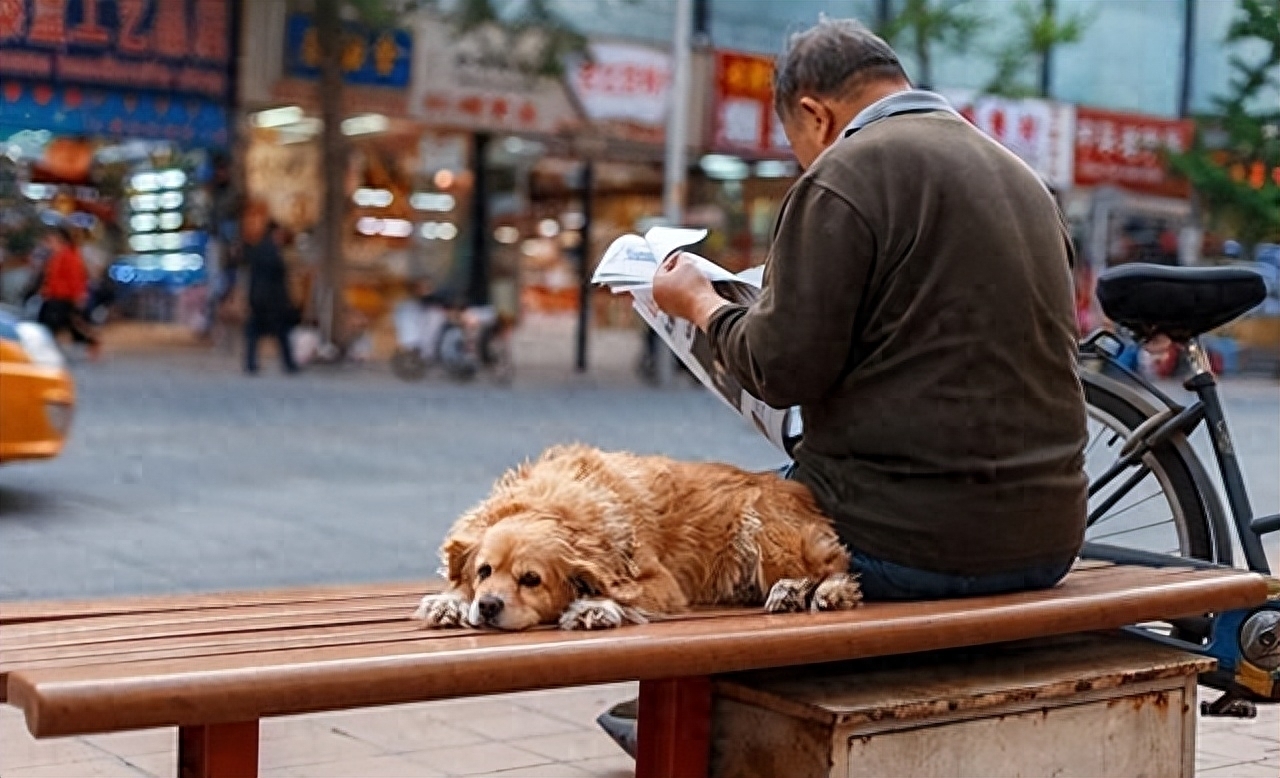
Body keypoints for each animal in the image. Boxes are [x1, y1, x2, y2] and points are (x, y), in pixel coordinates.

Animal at [414, 442, 865, 632]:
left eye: (531, 580)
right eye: (484, 571)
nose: (489, 606)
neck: (556, 504)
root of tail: (800, 492)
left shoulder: (664, 584)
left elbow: (623, 595)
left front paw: (594, 608)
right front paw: (450, 600)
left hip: (762, 530)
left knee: (835, 566)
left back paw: (813, 591)